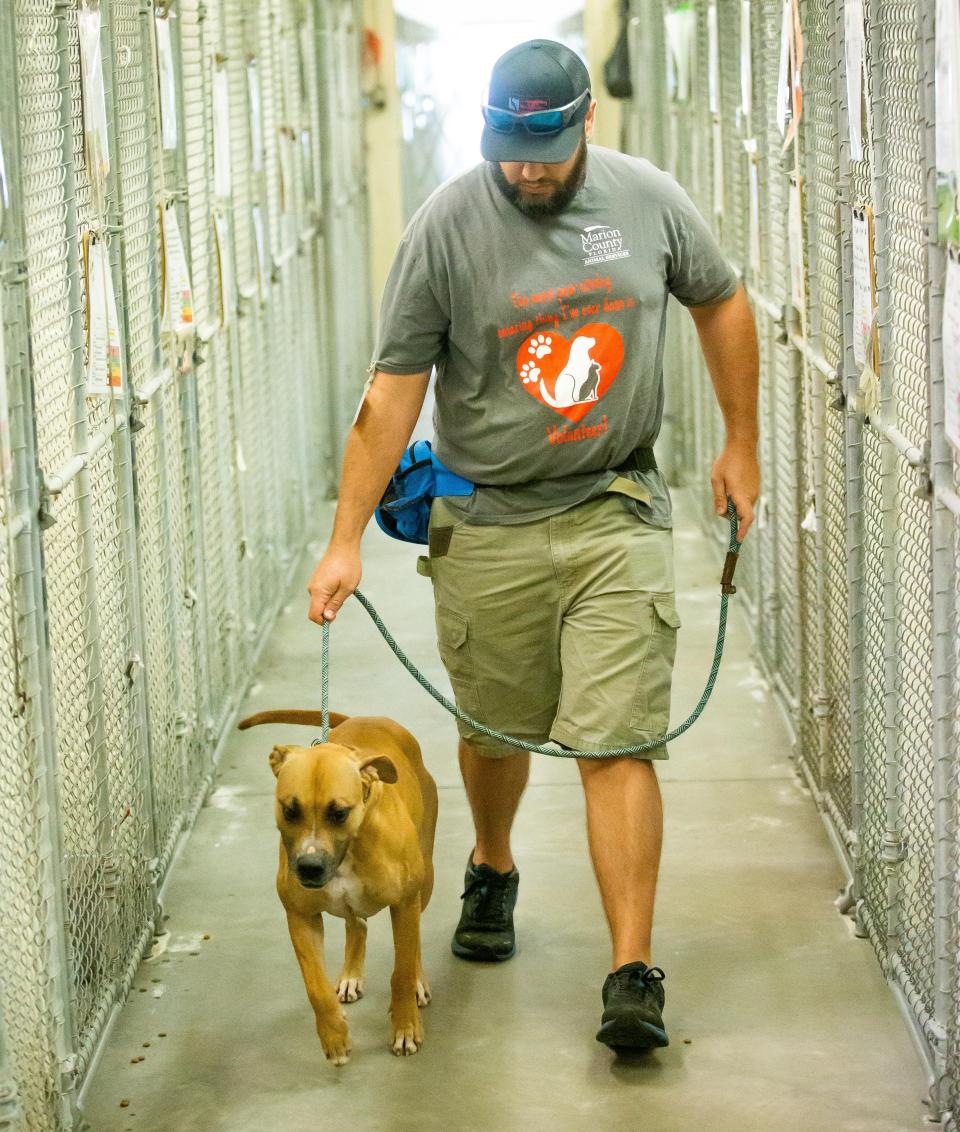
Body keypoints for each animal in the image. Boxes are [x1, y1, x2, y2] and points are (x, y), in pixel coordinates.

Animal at [238, 706, 439, 1059]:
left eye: (339, 813)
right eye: (289, 811)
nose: (309, 867)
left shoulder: (404, 904)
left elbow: (401, 971)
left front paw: (406, 1027)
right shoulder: (301, 917)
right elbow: (315, 987)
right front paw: (333, 1035)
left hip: (423, 884)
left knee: (411, 944)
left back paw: (418, 981)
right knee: (356, 925)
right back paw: (350, 975)